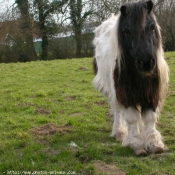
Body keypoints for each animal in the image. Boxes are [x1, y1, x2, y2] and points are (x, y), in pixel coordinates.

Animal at [92, 0, 169, 156]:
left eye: (152, 27)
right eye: (127, 31)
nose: (146, 62)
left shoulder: (151, 93)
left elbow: (150, 118)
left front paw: (154, 143)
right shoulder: (126, 94)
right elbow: (132, 119)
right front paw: (136, 144)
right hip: (113, 91)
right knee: (117, 109)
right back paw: (119, 132)